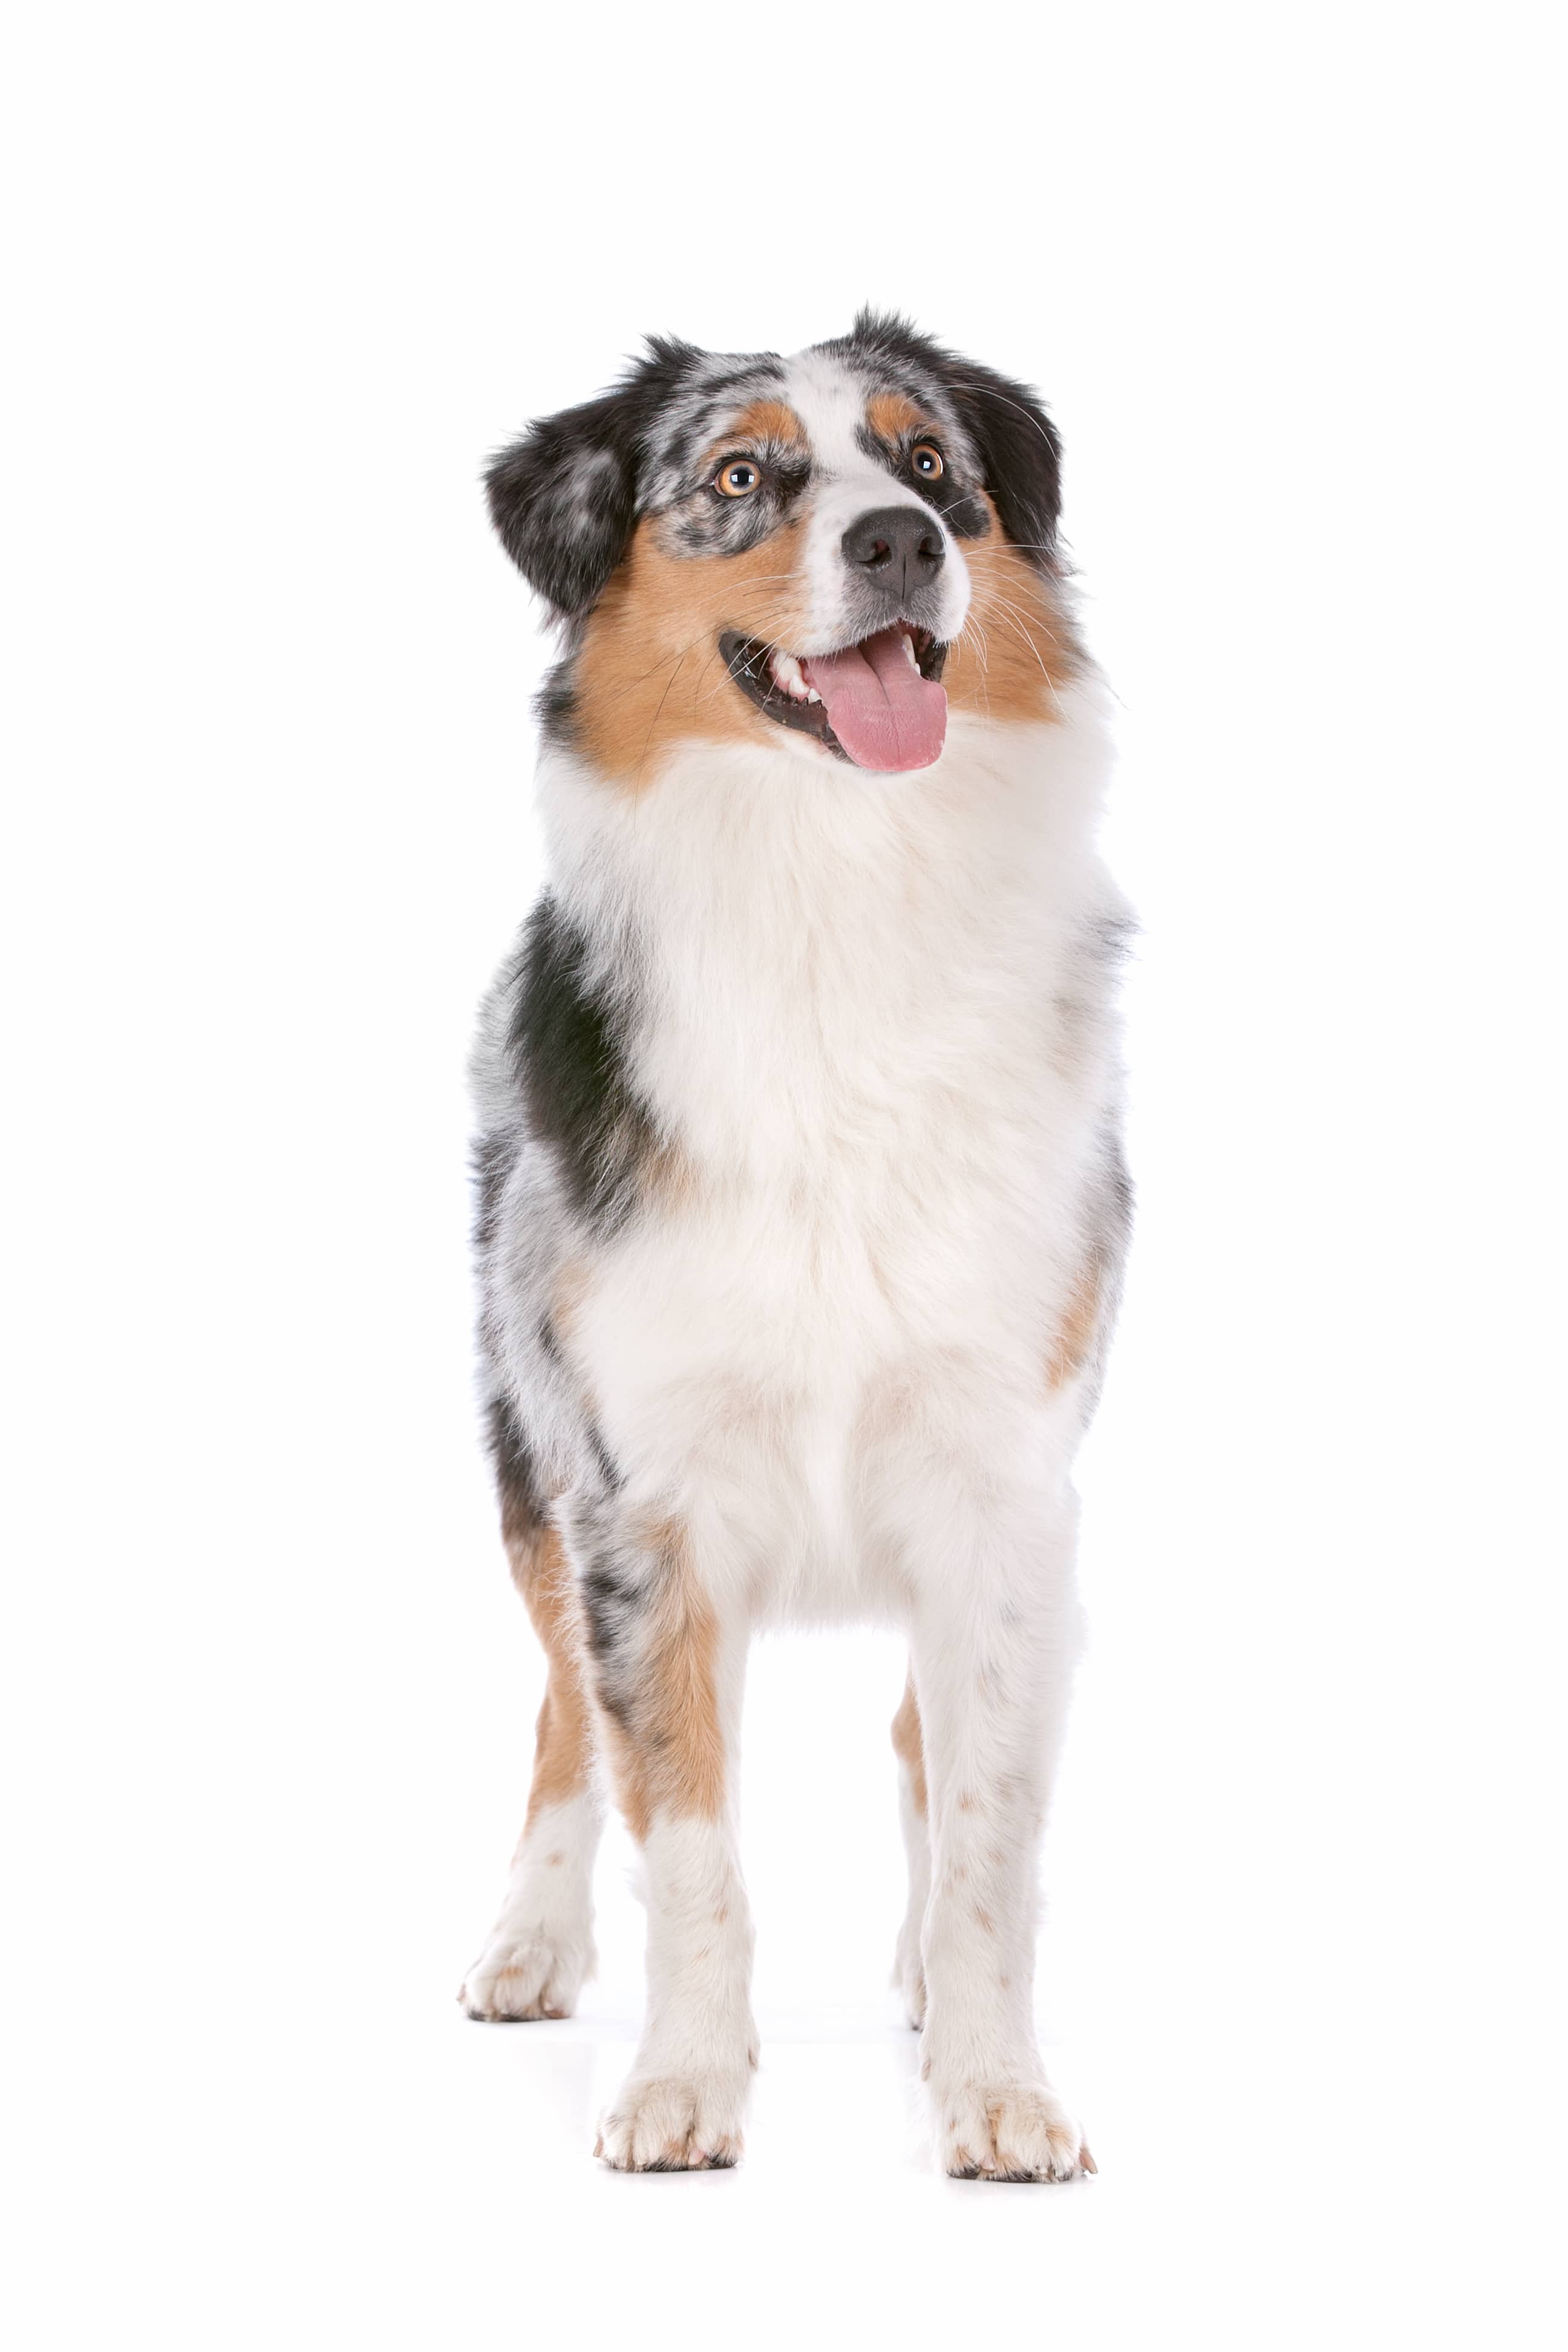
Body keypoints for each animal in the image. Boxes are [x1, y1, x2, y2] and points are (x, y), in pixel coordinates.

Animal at [460, 313, 1133, 2183]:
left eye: (930, 465)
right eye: (740, 472)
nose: (899, 540)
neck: (842, 884)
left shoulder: (1002, 1478)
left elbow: (987, 1831)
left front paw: (997, 2085)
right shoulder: (643, 1494)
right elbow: (686, 1839)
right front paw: (682, 2082)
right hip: (527, 1460)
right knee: (562, 1719)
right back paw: (529, 1943)